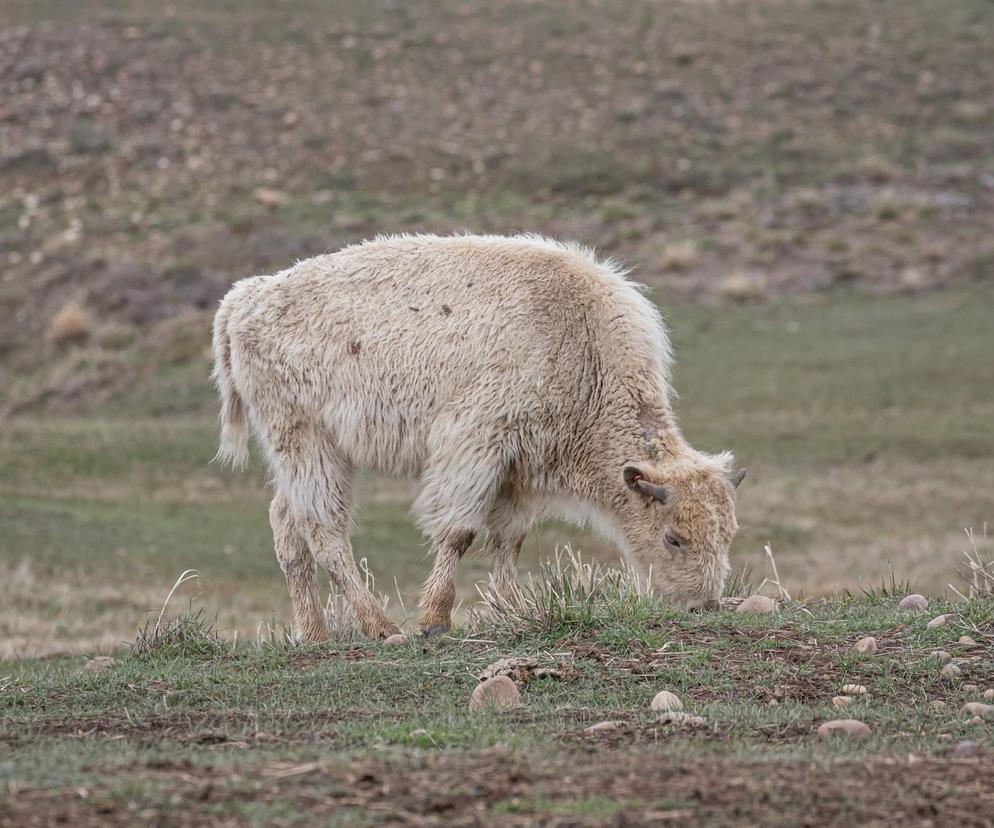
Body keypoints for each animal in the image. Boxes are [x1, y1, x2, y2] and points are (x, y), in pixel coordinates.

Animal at [213, 234, 740, 640]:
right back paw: (381, 628)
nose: (702, 605)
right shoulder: (476, 449)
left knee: (287, 525)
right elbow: (459, 531)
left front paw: (514, 610)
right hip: (310, 442)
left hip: (301, 455)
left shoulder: (519, 472)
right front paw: (434, 620)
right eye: (674, 538)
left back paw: (315, 634)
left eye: (727, 534)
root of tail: (244, 298)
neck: (578, 340)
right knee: (323, 529)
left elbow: (509, 540)